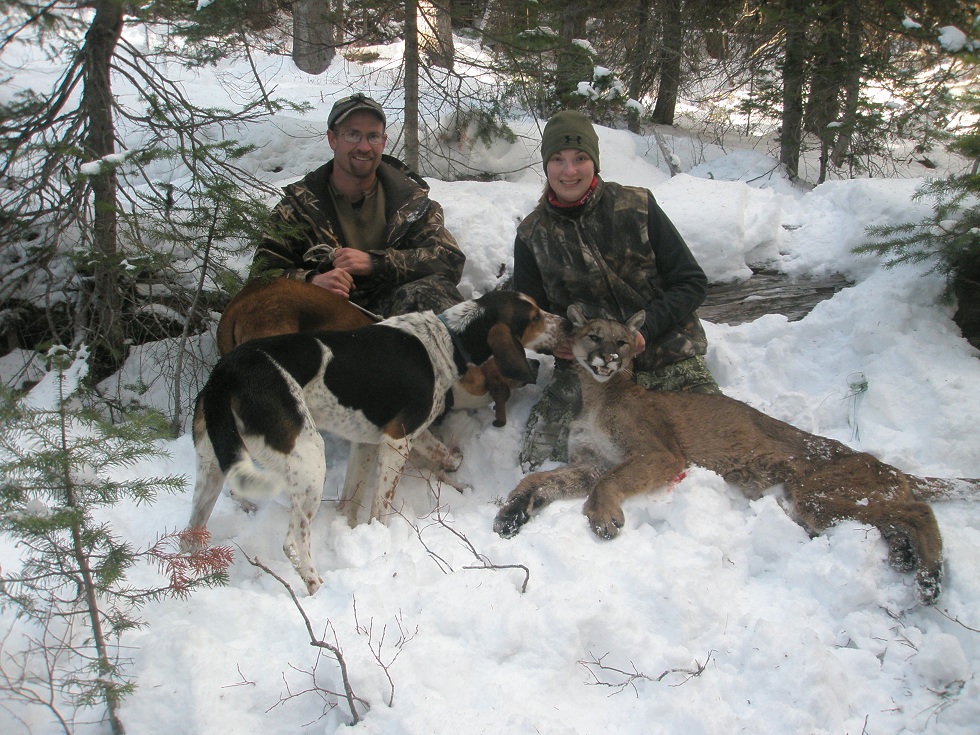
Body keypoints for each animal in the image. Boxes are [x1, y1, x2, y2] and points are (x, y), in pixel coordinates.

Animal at [185, 290, 568, 596]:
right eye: (535, 316)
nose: (566, 321)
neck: (447, 339)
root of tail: (225, 374)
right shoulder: (398, 440)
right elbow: (382, 506)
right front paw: (382, 537)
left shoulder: (369, 442)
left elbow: (357, 496)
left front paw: (353, 531)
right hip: (309, 457)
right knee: (294, 542)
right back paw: (318, 588)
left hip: (212, 466)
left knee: (192, 532)